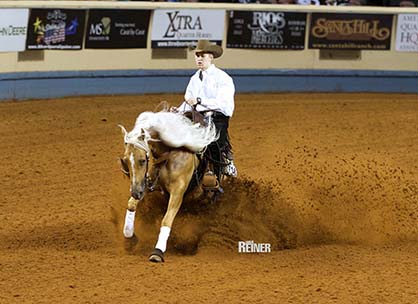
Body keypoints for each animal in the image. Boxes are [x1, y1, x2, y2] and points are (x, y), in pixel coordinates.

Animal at [116, 110, 217, 262]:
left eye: (142, 160)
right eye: (126, 161)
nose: (135, 192)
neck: (169, 153)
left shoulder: (177, 192)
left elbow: (166, 220)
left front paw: (157, 251)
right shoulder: (147, 184)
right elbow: (131, 204)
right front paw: (129, 238)